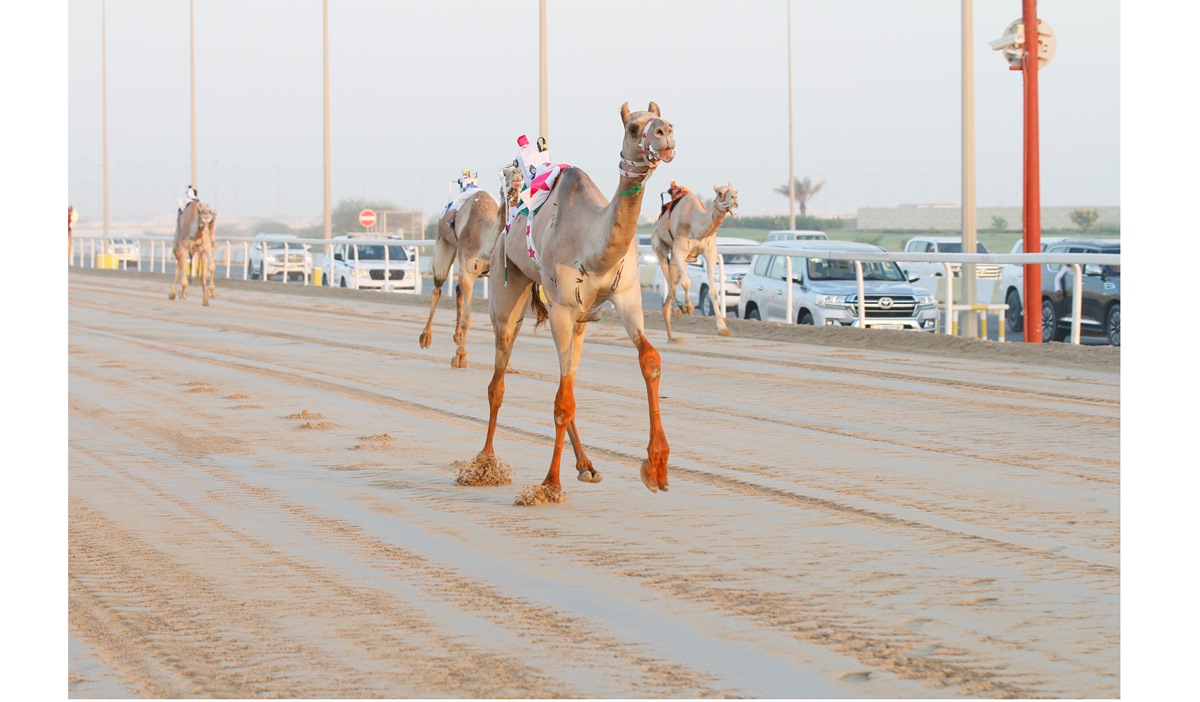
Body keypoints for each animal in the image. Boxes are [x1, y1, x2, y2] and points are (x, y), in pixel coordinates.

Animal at [420, 163, 523, 367]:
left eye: (519, 171)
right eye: (506, 172)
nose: (517, 175)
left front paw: (506, 363)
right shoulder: (468, 268)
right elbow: (468, 318)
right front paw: (460, 357)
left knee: (457, 288)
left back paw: (457, 336)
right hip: (443, 243)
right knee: (438, 288)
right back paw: (425, 337)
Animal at [463, 101, 676, 501]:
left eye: (667, 120)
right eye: (634, 126)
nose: (666, 133)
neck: (593, 247)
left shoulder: (625, 297)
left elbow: (650, 360)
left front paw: (656, 467)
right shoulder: (561, 309)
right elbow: (561, 402)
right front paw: (549, 485)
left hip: (579, 322)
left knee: (569, 381)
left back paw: (587, 465)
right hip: (507, 292)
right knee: (498, 382)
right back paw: (484, 464)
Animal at [652, 182, 734, 338]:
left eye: (734, 191)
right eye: (720, 193)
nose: (733, 199)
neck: (695, 224)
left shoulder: (710, 252)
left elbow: (713, 291)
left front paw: (723, 328)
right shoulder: (679, 250)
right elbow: (686, 282)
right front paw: (688, 307)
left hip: (682, 257)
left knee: (674, 277)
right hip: (659, 246)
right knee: (669, 277)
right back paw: (676, 310)